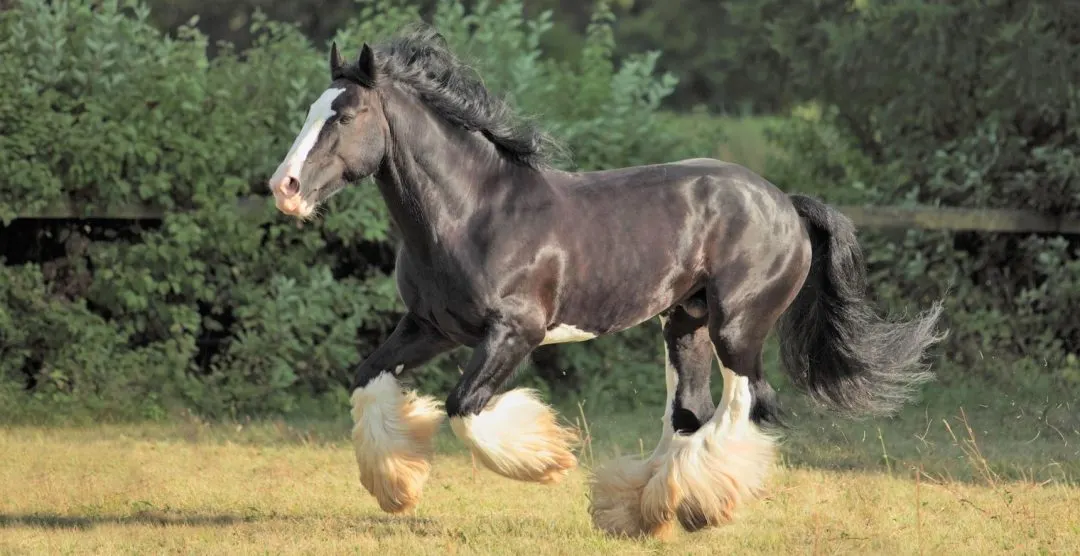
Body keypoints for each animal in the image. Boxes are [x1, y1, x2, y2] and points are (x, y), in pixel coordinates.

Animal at [266, 26, 945, 538]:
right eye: (310, 110)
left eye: (346, 114)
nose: (284, 188)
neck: (473, 212)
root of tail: (785, 202)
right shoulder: (431, 328)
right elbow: (368, 380)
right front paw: (397, 489)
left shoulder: (515, 333)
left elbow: (465, 407)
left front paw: (547, 461)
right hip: (685, 323)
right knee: (689, 413)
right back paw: (647, 510)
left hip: (739, 327)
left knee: (745, 404)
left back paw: (699, 507)